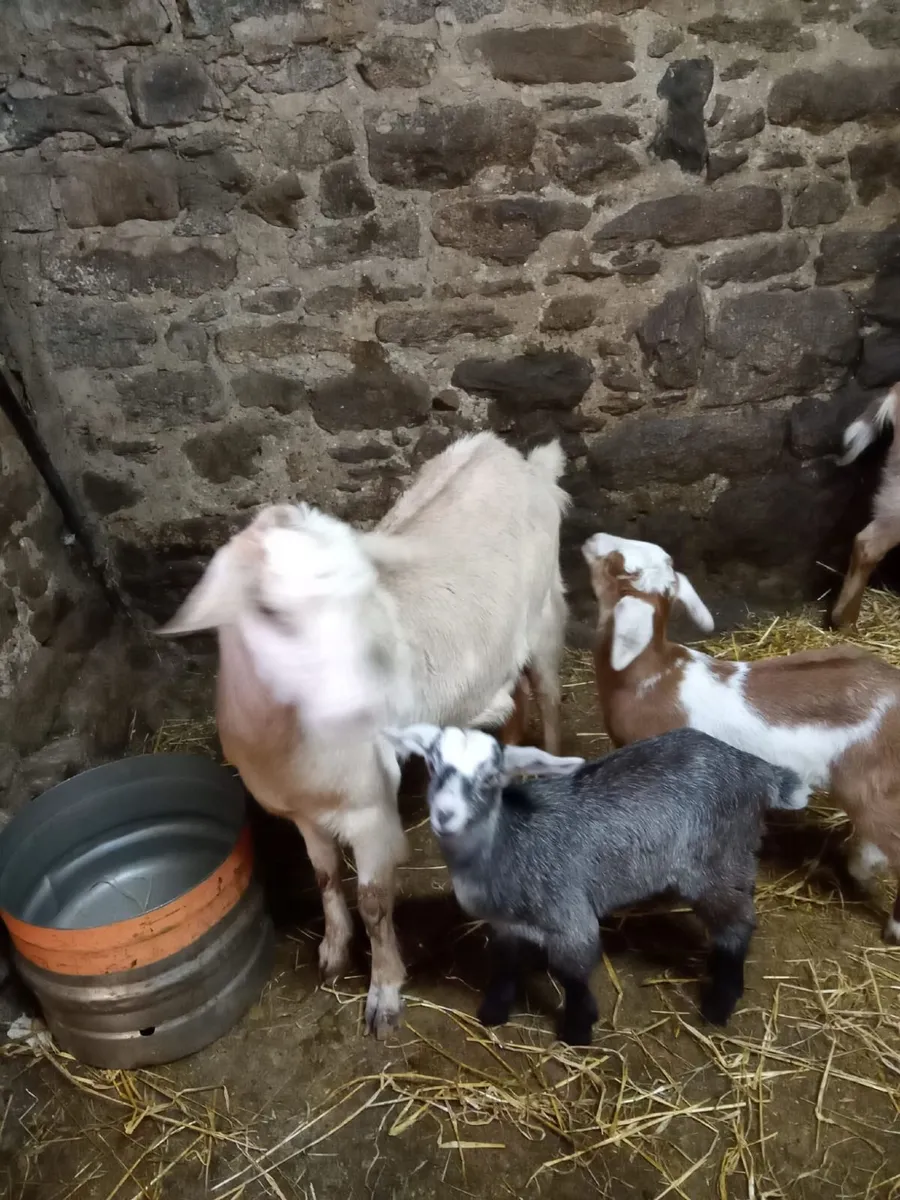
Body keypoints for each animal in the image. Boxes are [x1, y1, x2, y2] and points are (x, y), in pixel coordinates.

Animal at [159, 432, 569, 1037]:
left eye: (359, 598)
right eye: (271, 610)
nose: (359, 699)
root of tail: (515, 456)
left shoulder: (369, 807)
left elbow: (374, 901)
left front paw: (384, 992)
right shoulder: (305, 809)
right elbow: (326, 875)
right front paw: (332, 951)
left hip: (543, 619)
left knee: (549, 698)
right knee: (512, 696)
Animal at [387, 724, 797, 1044]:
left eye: (491, 776)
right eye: (432, 764)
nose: (445, 815)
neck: (507, 841)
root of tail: (757, 769)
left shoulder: (569, 915)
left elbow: (573, 973)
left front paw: (577, 1030)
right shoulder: (504, 924)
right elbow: (504, 963)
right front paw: (494, 1011)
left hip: (713, 859)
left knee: (737, 922)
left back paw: (719, 1002)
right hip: (733, 855)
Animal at [583, 531, 900, 944]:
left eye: (619, 566)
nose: (592, 538)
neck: (652, 675)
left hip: (870, 782)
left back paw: (892, 923)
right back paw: (859, 864)